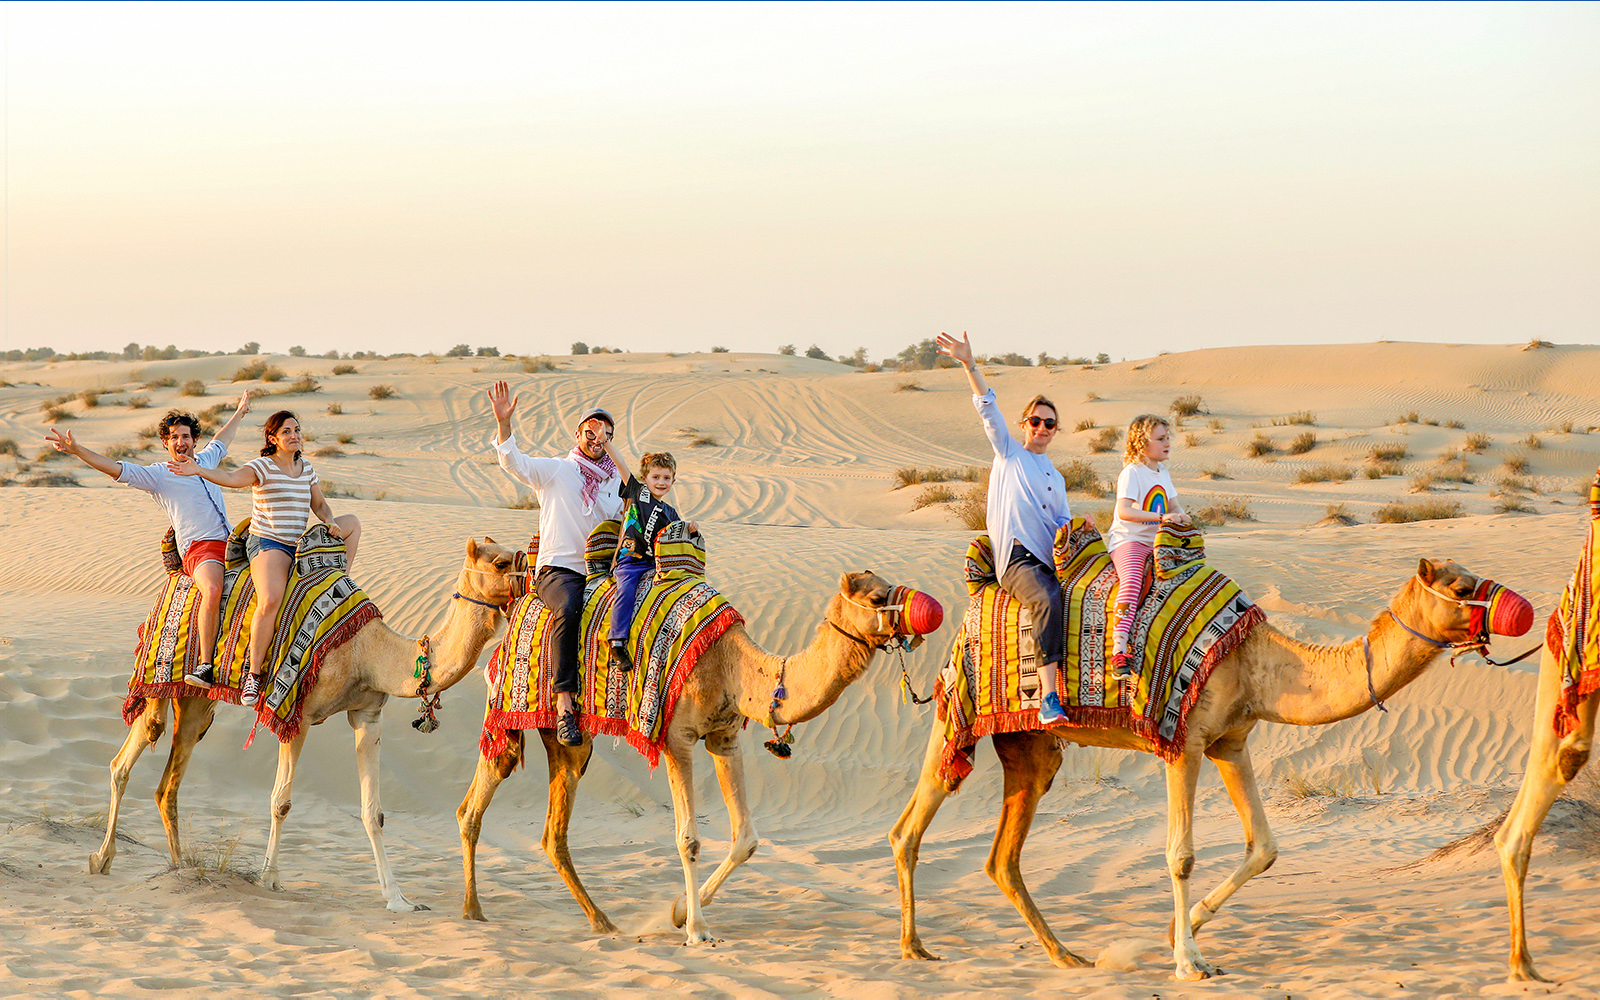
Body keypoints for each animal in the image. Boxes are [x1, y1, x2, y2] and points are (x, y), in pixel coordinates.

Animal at [92, 537, 524, 915]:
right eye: (501, 563)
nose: (531, 579)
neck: (368, 652)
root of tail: (175, 576)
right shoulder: (294, 714)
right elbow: (280, 801)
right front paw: (269, 879)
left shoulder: (367, 715)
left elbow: (373, 811)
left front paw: (399, 899)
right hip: (160, 677)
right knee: (124, 761)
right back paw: (102, 859)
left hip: (197, 702)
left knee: (168, 785)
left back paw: (180, 868)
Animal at [457, 569, 940, 940]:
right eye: (876, 597)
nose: (929, 611)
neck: (734, 666)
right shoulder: (678, 738)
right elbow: (688, 839)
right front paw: (697, 929)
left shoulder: (724, 737)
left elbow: (746, 838)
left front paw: (677, 911)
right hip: (511, 712)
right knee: (476, 802)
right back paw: (473, 911)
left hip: (570, 741)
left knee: (552, 832)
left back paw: (602, 921)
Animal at [896, 556, 1529, 979]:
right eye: (1461, 586)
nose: (1519, 609)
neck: (1259, 661)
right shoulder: (1188, 741)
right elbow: (1180, 855)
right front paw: (1190, 962)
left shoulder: (1232, 742)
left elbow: (1265, 847)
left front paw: (1181, 928)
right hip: (959, 713)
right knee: (912, 824)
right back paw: (914, 949)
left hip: (1031, 747)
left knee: (1002, 858)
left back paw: (1066, 955)